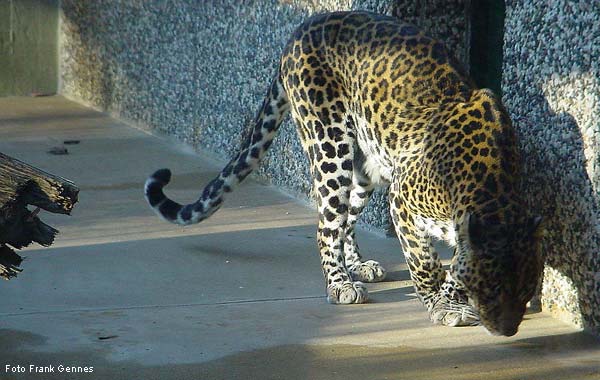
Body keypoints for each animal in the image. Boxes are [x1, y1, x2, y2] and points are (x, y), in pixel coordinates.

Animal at [145, 10, 544, 336]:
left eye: (526, 289)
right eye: (492, 289)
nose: (508, 330)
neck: (491, 190)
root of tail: (302, 27)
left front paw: (452, 296)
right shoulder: (402, 201)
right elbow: (424, 261)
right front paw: (440, 303)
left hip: (366, 165)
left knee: (347, 217)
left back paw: (357, 265)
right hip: (329, 146)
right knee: (327, 226)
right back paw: (340, 284)